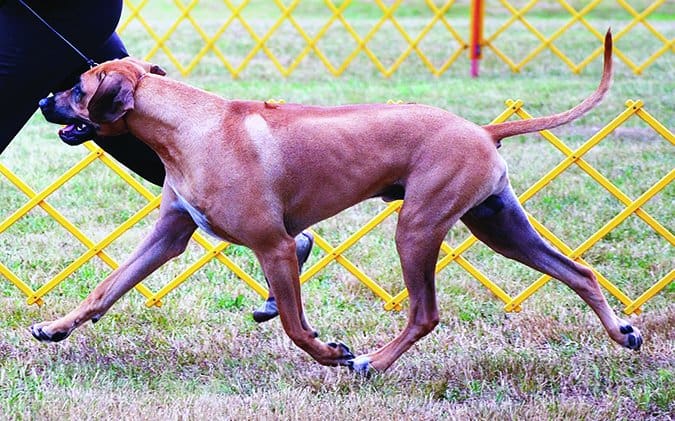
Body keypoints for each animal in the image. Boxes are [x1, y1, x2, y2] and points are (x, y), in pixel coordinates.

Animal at [34, 32, 640, 374]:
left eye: (78, 88)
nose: (42, 99)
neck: (189, 124)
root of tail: (482, 130)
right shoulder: (168, 235)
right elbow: (105, 288)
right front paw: (56, 327)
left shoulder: (274, 247)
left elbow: (295, 325)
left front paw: (331, 353)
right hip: (499, 224)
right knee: (580, 271)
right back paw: (623, 333)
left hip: (416, 228)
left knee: (425, 313)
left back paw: (370, 362)